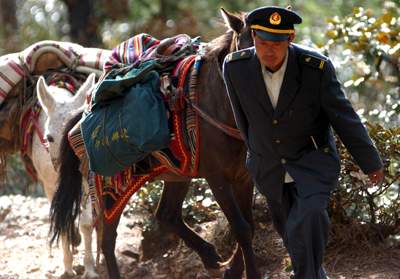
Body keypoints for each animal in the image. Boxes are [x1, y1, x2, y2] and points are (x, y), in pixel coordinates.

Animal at [35, 73, 98, 278]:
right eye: (49, 138)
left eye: (77, 130)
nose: (70, 169)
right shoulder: (50, 185)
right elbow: (61, 218)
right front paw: (68, 268)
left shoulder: (86, 182)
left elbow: (86, 224)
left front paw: (89, 268)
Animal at [50, 8, 260, 279]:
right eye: (245, 48)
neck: (219, 105)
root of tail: (82, 114)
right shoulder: (217, 178)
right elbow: (241, 228)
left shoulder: (243, 176)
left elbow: (249, 226)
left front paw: (234, 270)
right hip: (108, 189)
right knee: (107, 239)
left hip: (178, 173)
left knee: (167, 215)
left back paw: (210, 256)